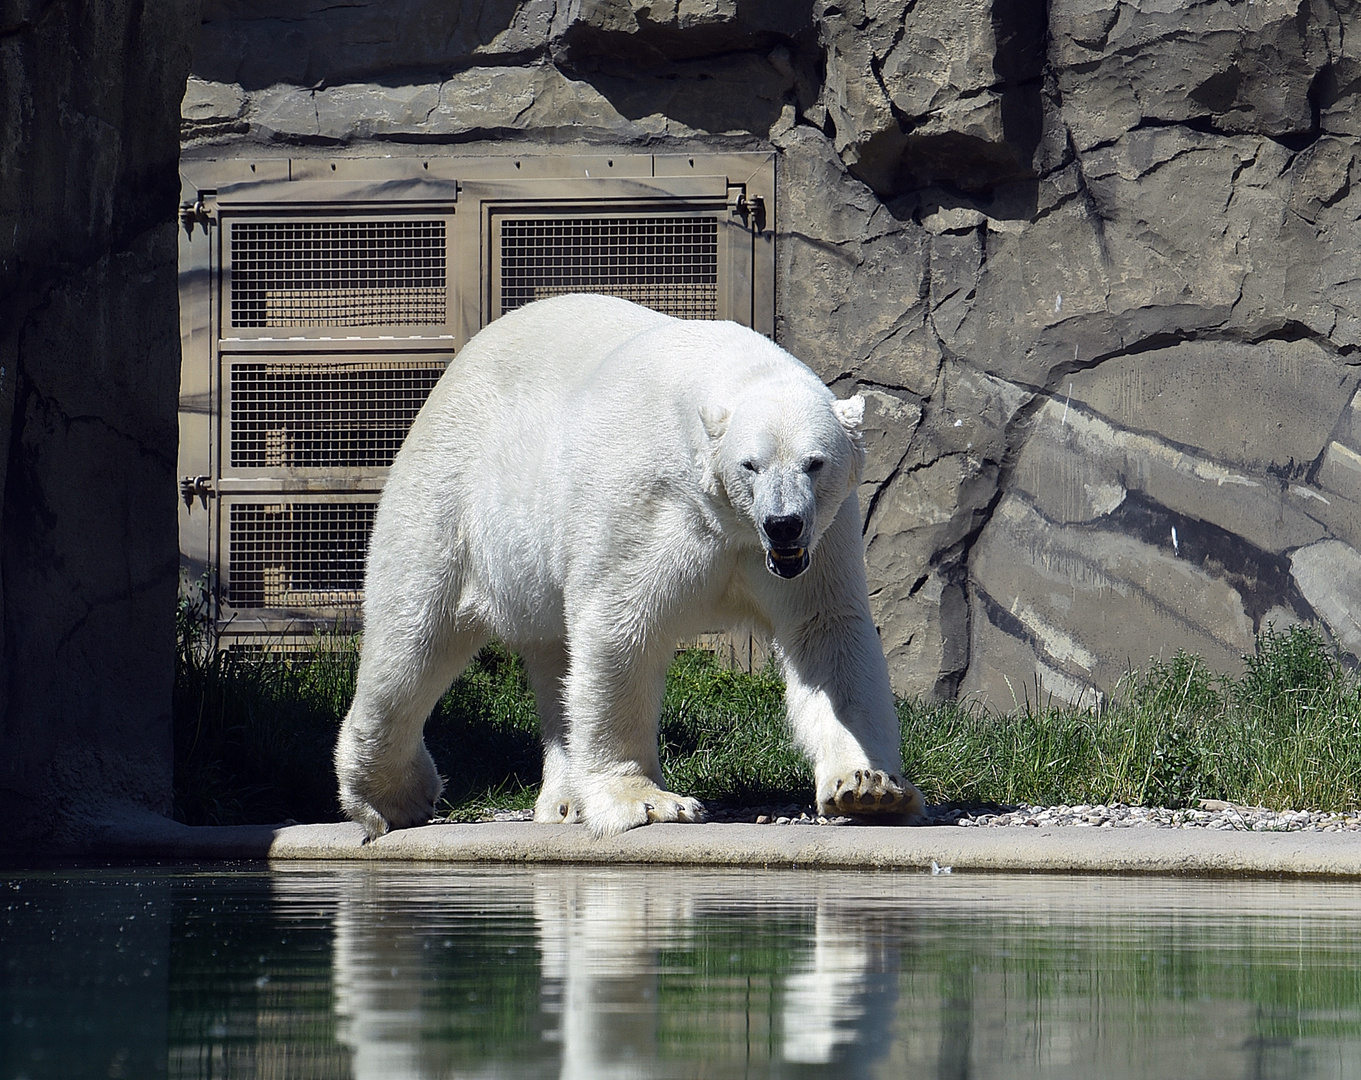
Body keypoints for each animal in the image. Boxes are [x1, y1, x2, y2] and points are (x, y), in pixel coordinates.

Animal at [333, 292, 925, 832]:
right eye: (751, 465)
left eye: (815, 462)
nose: (783, 523)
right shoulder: (644, 504)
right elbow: (622, 627)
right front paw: (649, 802)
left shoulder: (819, 542)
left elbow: (826, 631)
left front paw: (869, 788)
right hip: (452, 492)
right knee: (414, 635)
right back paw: (391, 797)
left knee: (553, 659)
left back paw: (564, 801)